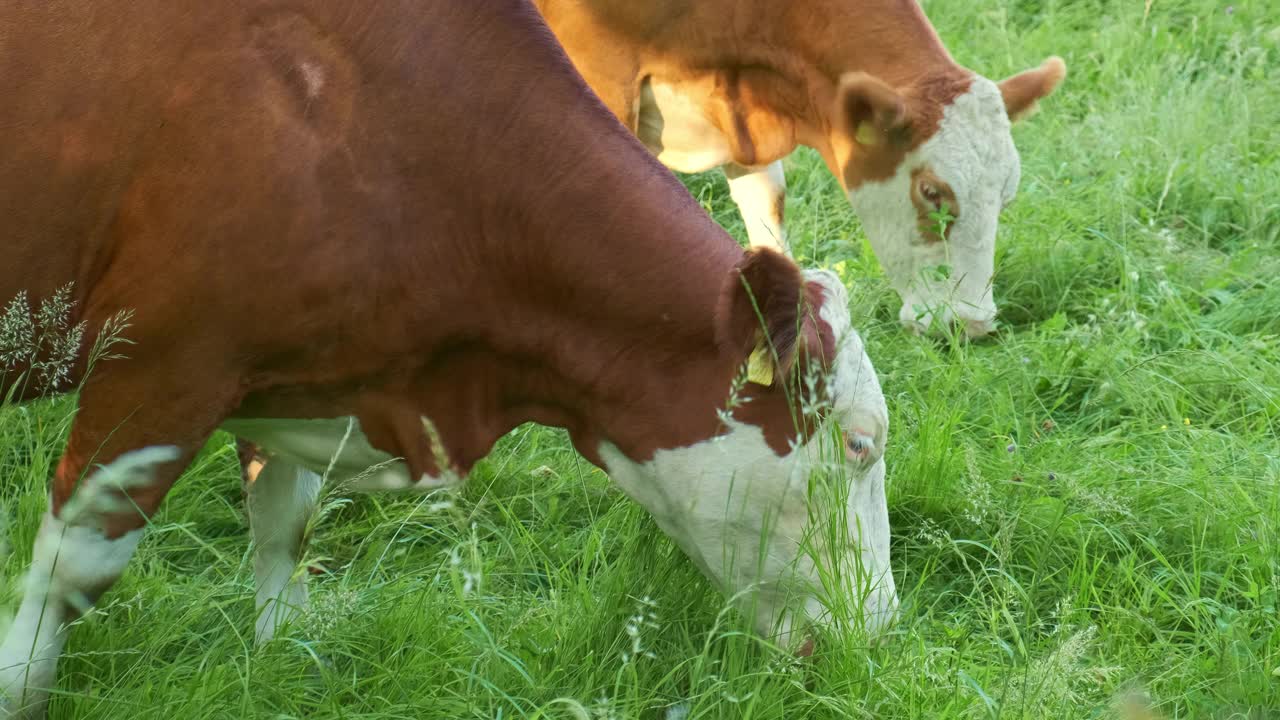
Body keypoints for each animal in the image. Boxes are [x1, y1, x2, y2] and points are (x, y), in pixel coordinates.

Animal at [0, 0, 896, 712]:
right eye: (859, 444)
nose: (878, 635)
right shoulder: (161, 373)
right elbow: (74, 569)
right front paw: (20, 690)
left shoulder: (291, 377)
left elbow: (284, 523)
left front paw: (277, 655)